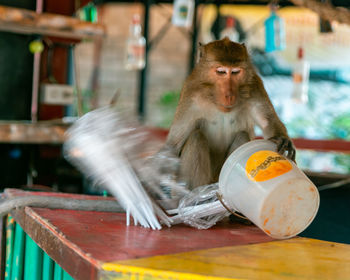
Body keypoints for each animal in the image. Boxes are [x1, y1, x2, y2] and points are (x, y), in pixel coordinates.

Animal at [161, 37, 296, 189]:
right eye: (221, 72)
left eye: (235, 72)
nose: (229, 95)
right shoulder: (191, 92)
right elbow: (174, 145)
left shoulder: (255, 85)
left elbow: (268, 121)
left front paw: (282, 139)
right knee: (196, 137)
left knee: (242, 136)